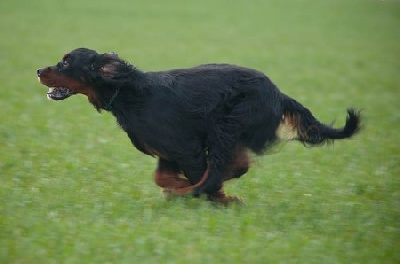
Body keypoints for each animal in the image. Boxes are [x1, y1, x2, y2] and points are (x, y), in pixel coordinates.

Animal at [37, 48, 362, 204]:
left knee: (220, 170)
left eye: (66, 62)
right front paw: (180, 185)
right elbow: (162, 177)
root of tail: (279, 94)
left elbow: (201, 179)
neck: (129, 93)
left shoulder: (187, 148)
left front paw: (215, 198)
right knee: (236, 165)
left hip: (226, 124)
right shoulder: (168, 152)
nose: (39, 70)